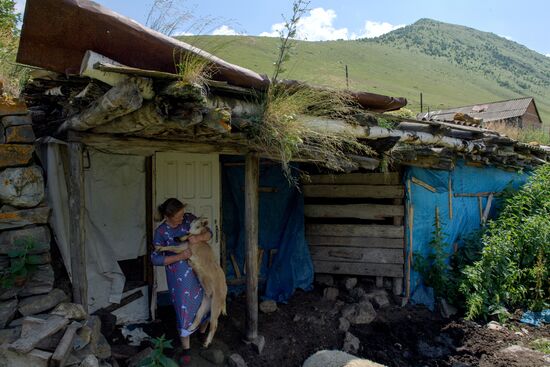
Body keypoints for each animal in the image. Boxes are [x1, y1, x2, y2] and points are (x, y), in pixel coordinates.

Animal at [154, 217, 227, 350]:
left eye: (198, 225)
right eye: (193, 222)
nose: (178, 237)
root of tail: (225, 292)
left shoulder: (185, 248)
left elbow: (172, 247)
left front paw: (160, 247)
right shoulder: (185, 245)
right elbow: (175, 245)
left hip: (216, 304)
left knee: (214, 324)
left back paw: (206, 343)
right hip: (205, 304)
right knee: (198, 318)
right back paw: (189, 329)